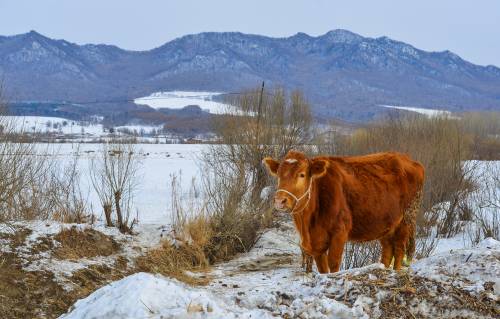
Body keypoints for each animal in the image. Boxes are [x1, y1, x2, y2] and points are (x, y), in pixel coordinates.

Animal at [264, 151, 424, 274]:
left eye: (302, 174)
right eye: (278, 175)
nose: (280, 200)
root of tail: (409, 160)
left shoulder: (339, 232)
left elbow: (334, 263)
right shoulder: (316, 244)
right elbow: (322, 268)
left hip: (406, 220)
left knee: (399, 249)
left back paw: (396, 272)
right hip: (386, 224)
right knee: (388, 250)